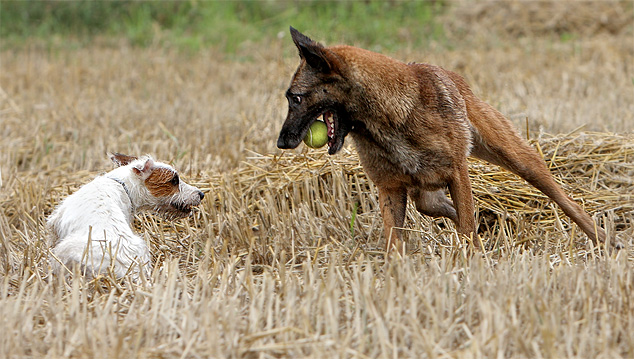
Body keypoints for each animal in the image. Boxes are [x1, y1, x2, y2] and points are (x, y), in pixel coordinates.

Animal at [276, 27, 604, 253]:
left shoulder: (457, 172)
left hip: (518, 159)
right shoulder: (390, 189)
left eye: (296, 98)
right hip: (425, 195)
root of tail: (454, 78)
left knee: (567, 202)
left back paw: (604, 239)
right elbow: (395, 244)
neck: (387, 121)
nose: (282, 142)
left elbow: (468, 228)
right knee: (446, 209)